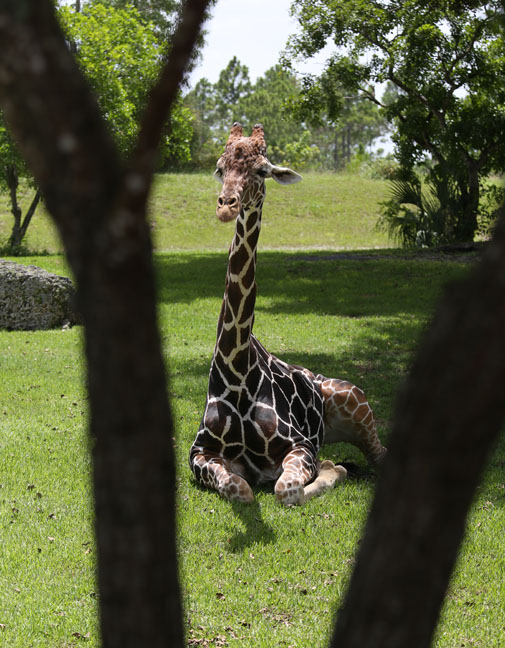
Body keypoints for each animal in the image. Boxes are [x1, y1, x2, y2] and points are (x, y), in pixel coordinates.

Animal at [189, 123, 386, 506]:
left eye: (262, 170)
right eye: (220, 168)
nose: (226, 207)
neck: (237, 374)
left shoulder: (300, 444)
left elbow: (286, 489)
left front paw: (331, 470)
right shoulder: (199, 453)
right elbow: (240, 489)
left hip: (356, 402)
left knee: (381, 455)